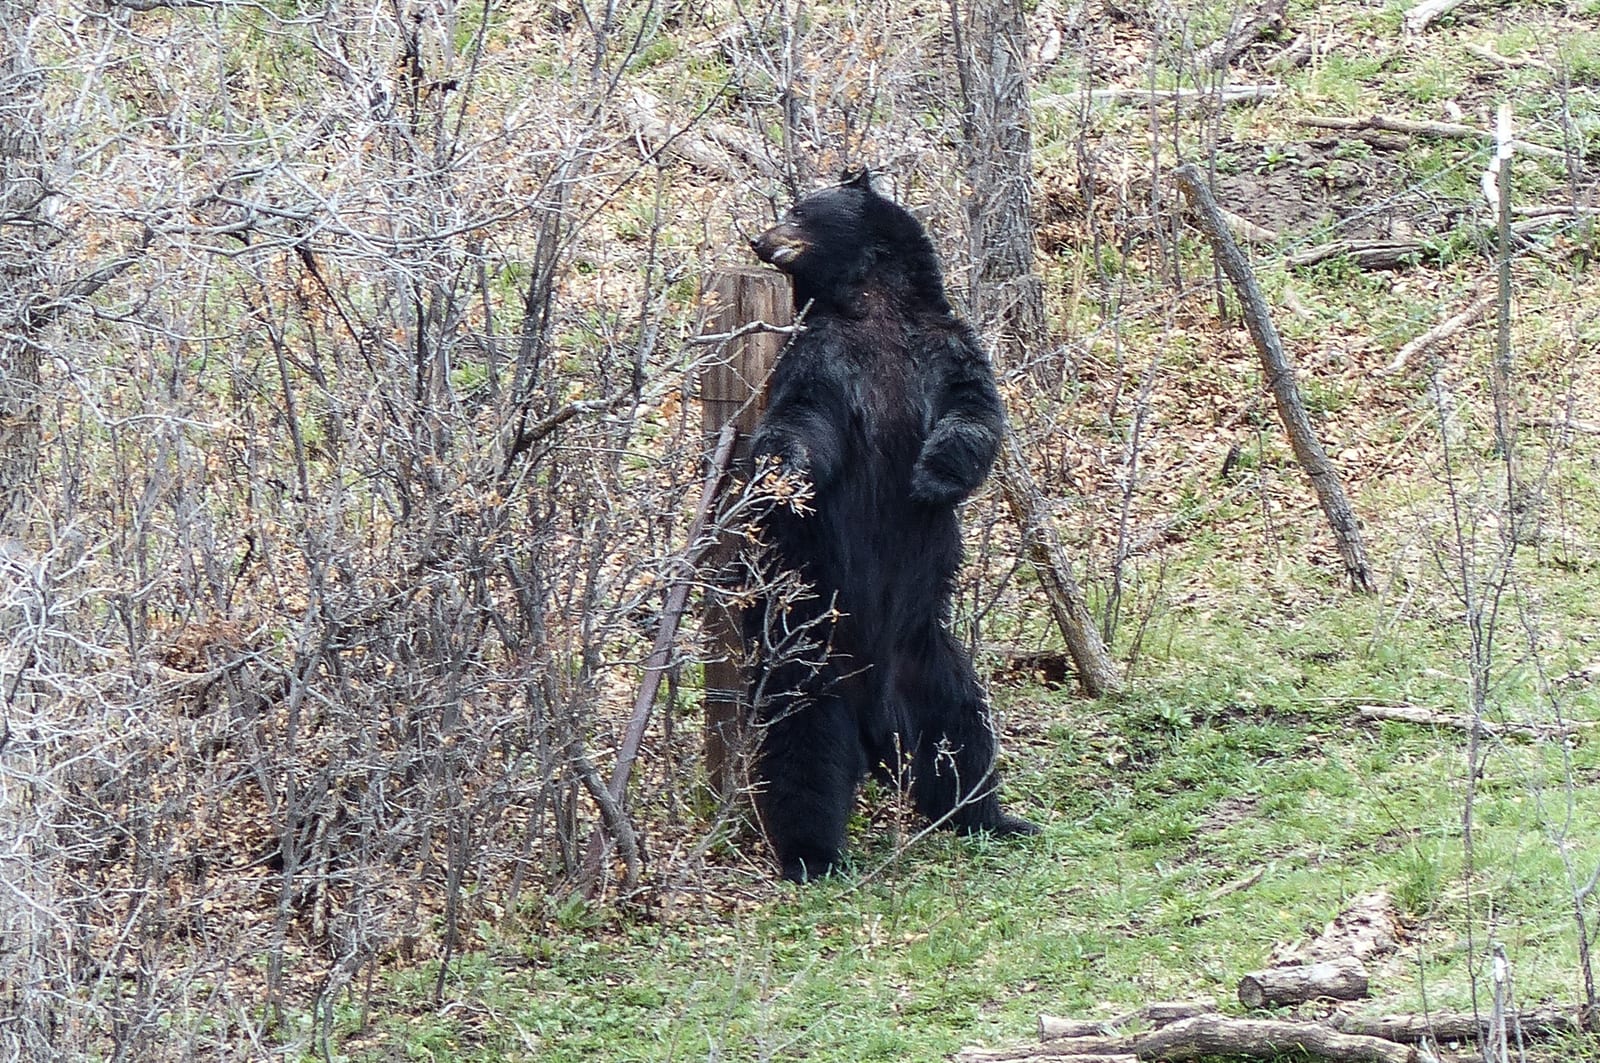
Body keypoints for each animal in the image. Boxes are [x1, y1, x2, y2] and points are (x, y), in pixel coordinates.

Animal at [745, 169, 1040, 883]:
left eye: (800, 209)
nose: (759, 239)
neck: (873, 307)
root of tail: (876, 718)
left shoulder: (944, 347)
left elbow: (974, 413)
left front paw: (931, 475)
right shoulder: (825, 359)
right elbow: (804, 421)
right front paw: (778, 472)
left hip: (929, 658)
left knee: (962, 733)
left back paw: (992, 816)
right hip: (814, 666)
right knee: (802, 754)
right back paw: (813, 855)